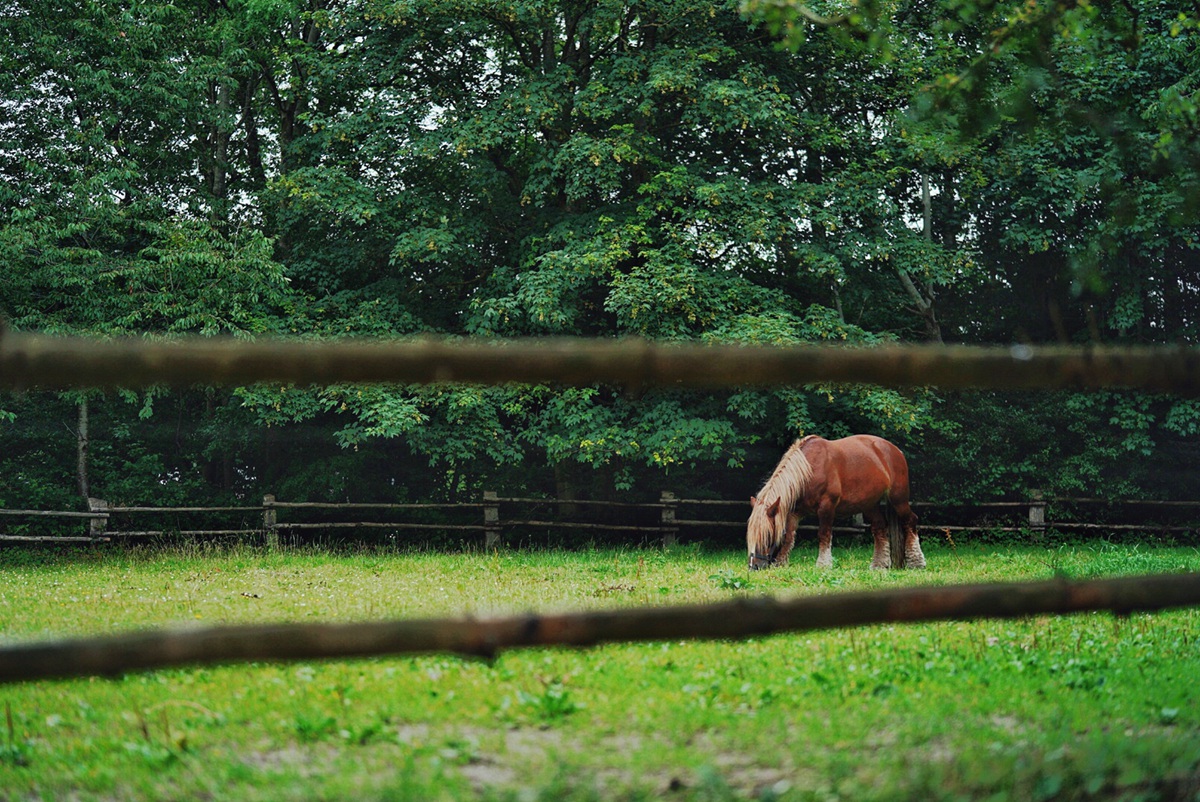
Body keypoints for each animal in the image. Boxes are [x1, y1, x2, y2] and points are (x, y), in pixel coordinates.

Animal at [739, 439, 926, 569]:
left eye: (767, 534)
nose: (755, 566)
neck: (809, 470)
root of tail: (895, 450)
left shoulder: (827, 508)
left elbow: (824, 534)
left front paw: (823, 564)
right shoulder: (794, 512)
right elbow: (789, 537)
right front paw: (781, 563)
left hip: (898, 499)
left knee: (911, 521)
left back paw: (917, 562)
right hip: (869, 505)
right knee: (880, 527)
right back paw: (879, 565)